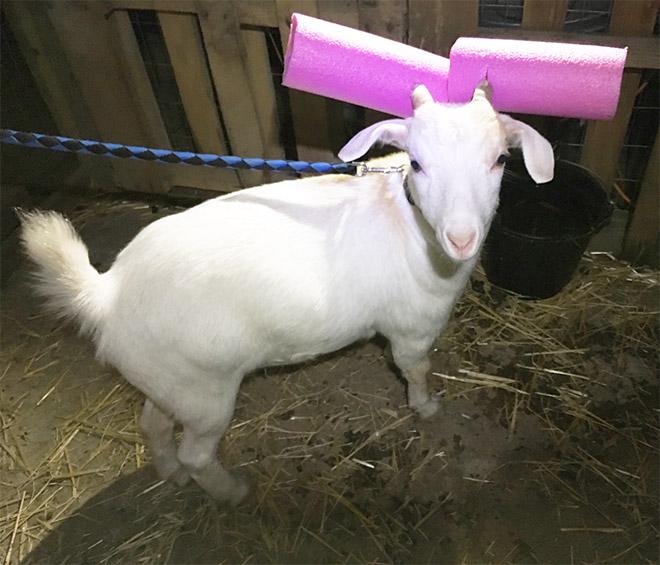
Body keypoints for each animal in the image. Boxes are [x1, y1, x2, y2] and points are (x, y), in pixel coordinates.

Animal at [19, 83, 554, 504]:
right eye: (418, 164)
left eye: (500, 159)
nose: (461, 238)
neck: (409, 224)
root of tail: (106, 292)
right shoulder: (411, 329)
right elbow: (416, 370)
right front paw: (426, 407)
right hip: (205, 391)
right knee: (196, 452)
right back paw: (231, 492)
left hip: (170, 380)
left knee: (153, 423)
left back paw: (170, 474)